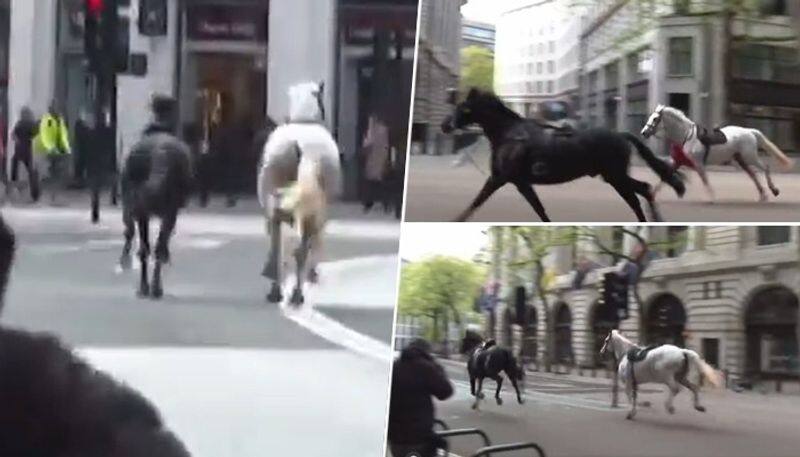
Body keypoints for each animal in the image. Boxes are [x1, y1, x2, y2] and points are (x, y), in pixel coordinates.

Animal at [258, 81, 342, 306]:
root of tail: (297, 143)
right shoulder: (320, 214)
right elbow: (313, 243)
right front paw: (312, 274)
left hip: (275, 201)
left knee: (279, 247)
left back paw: (276, 288)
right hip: (310, 212)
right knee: (300, 250)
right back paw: (296, 294)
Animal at [440, 88, 684, 222]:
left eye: (464, 108)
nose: (445, 125)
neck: (510, 135)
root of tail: (620, 134)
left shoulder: (502, 178)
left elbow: (477, 201)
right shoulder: (520, 182)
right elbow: (539, 210)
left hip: (615, 176)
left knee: (636, 197)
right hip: (613, 176)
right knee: (644, 189)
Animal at [636, 106, 792, 202]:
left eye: (655, 119)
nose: (643, 132)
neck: (686, 136)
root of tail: (749, 132)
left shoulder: (698, 164)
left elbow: (705, 180)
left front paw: (711, 198)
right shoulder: (678, 162)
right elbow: (665, 176)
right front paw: (651, 195)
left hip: (750, 157)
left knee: (765, 168)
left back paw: (774, 190)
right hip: (741, 159)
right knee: (753, 175)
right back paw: (763, 195)